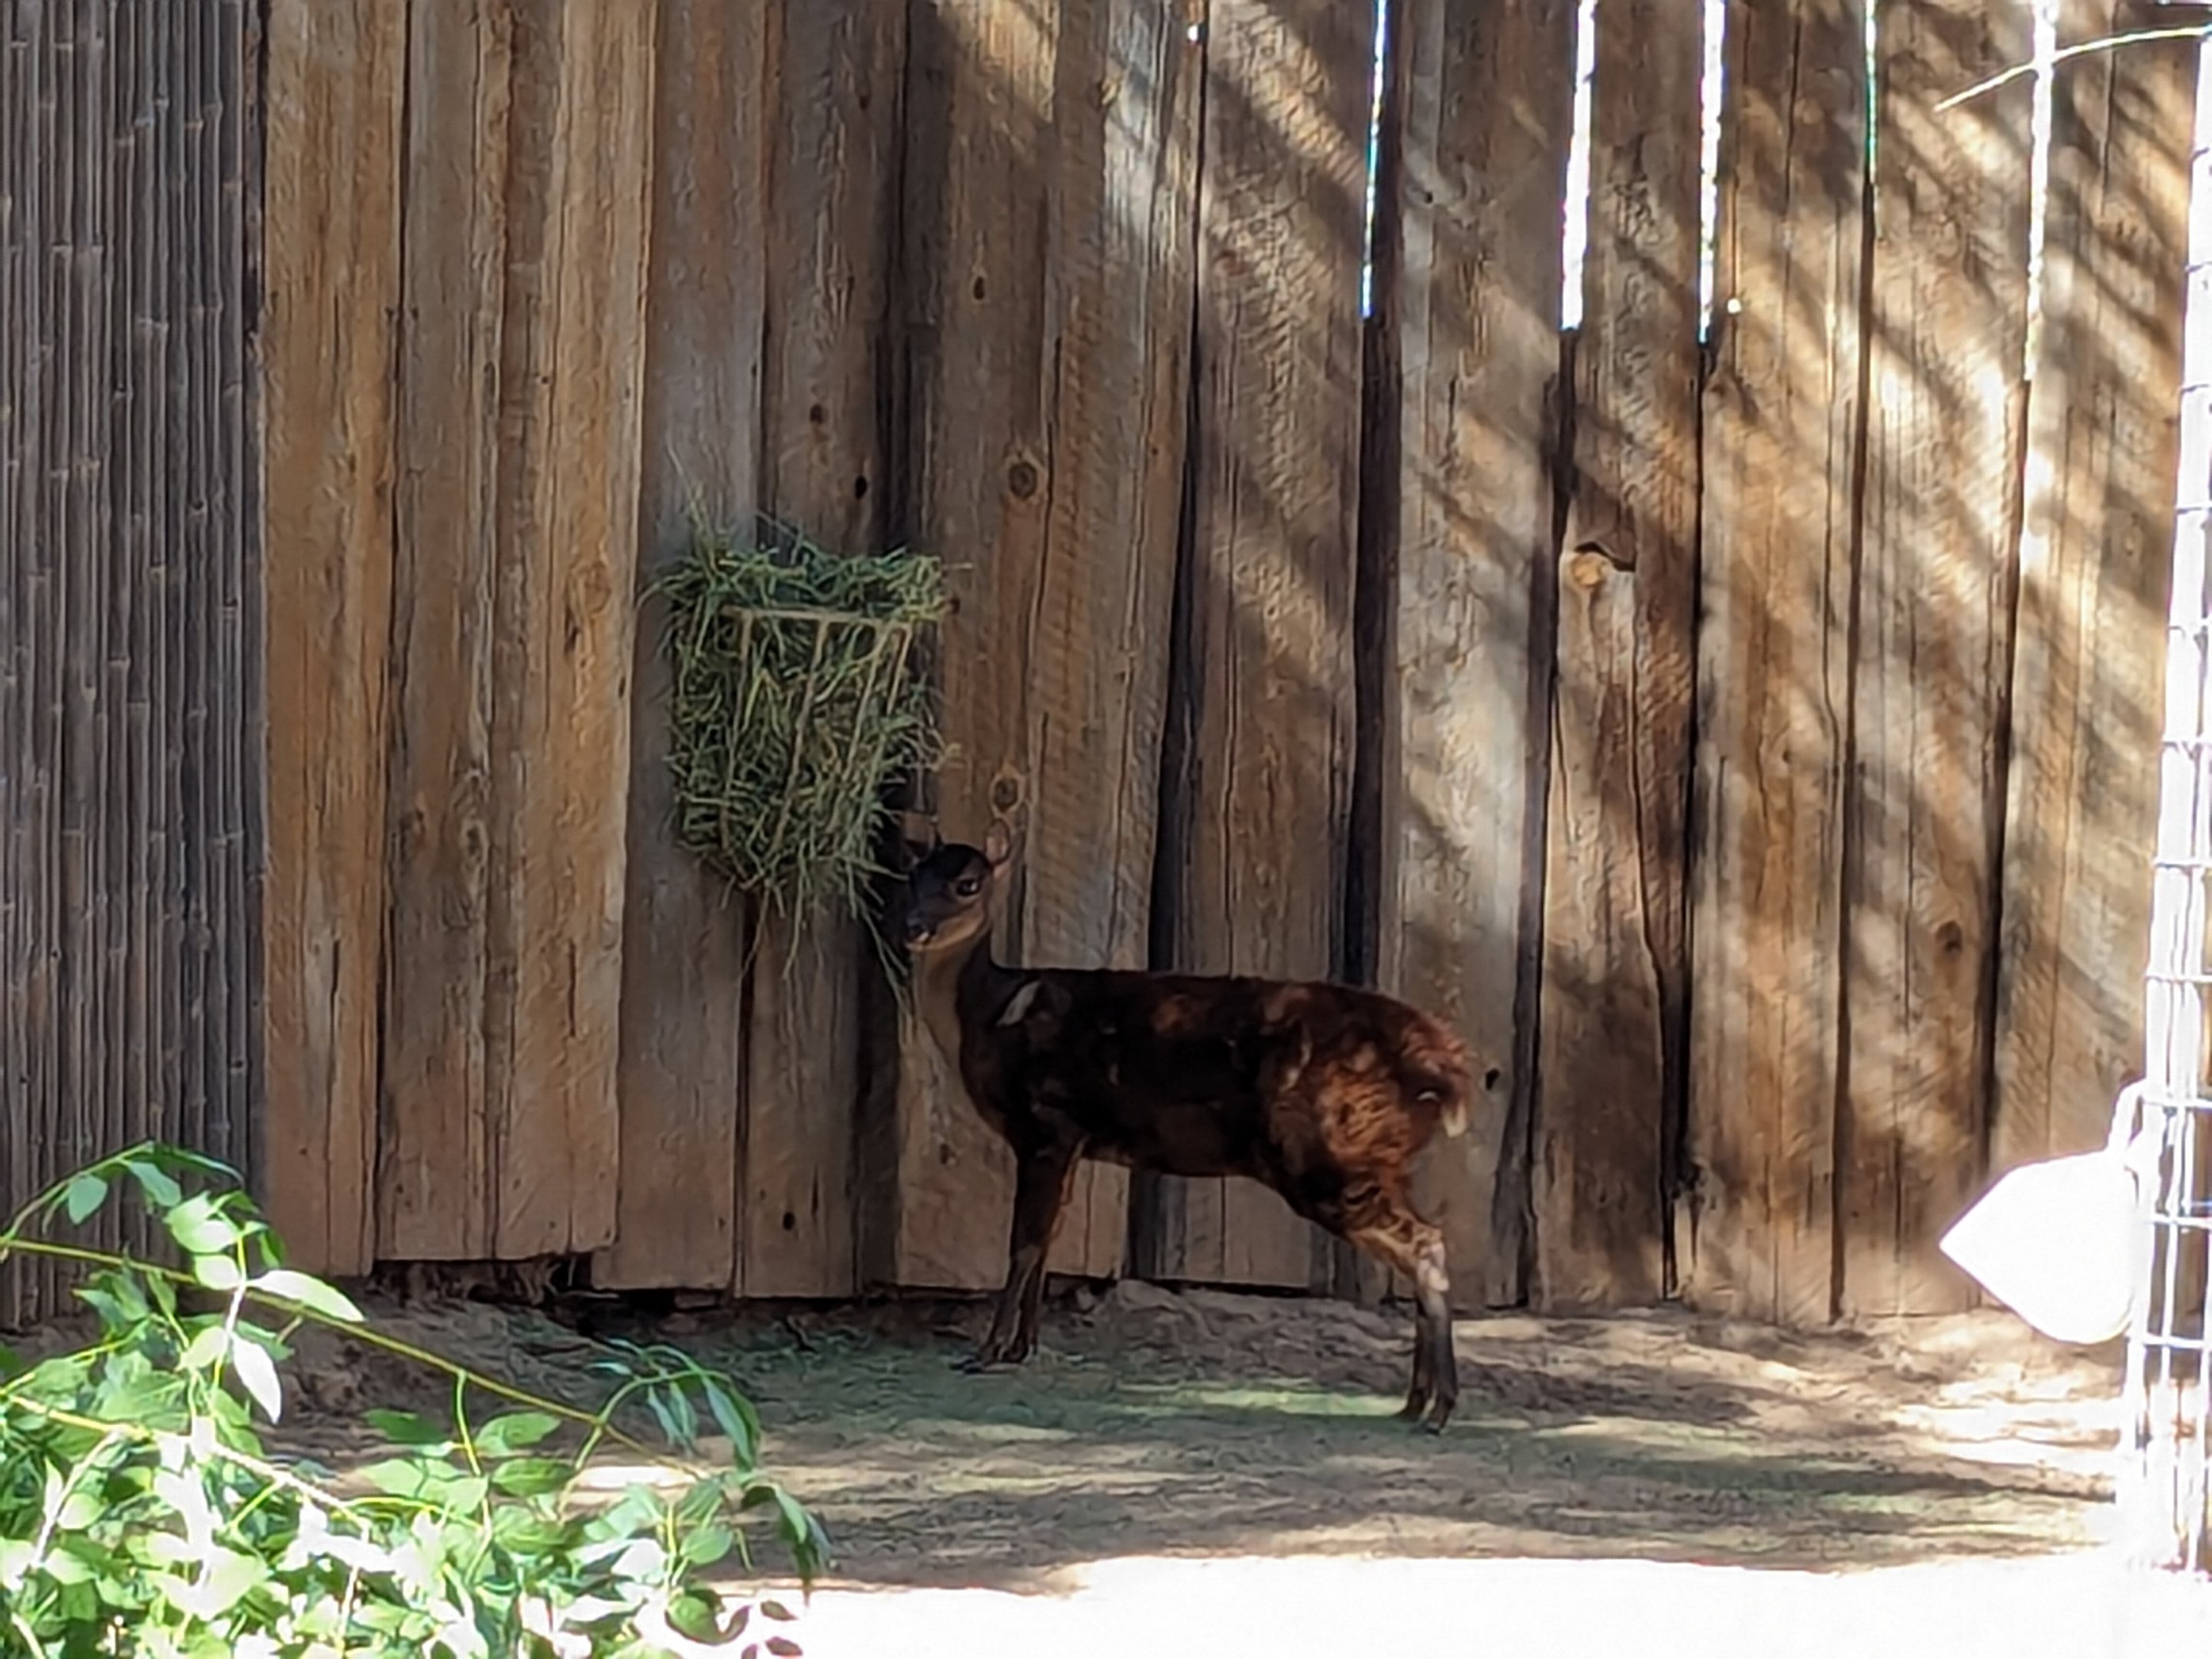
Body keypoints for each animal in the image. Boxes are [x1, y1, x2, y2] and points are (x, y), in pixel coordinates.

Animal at [894, 821, 1491, 1432]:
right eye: (911, 875)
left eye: (968, 883)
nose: (915, 928)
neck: (989, 1017)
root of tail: (1445, 1071)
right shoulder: (1072, 1142)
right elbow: (1048, 1242)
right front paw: (1021, 1348)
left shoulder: (1046, 1124)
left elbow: (1023, 1243)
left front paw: (987, 1352)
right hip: (1375, 1160)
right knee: (1420, 1245)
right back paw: (1415, 1403)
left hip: (1331, 1153)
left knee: (1426, 1243)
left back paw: (1438, 1408)